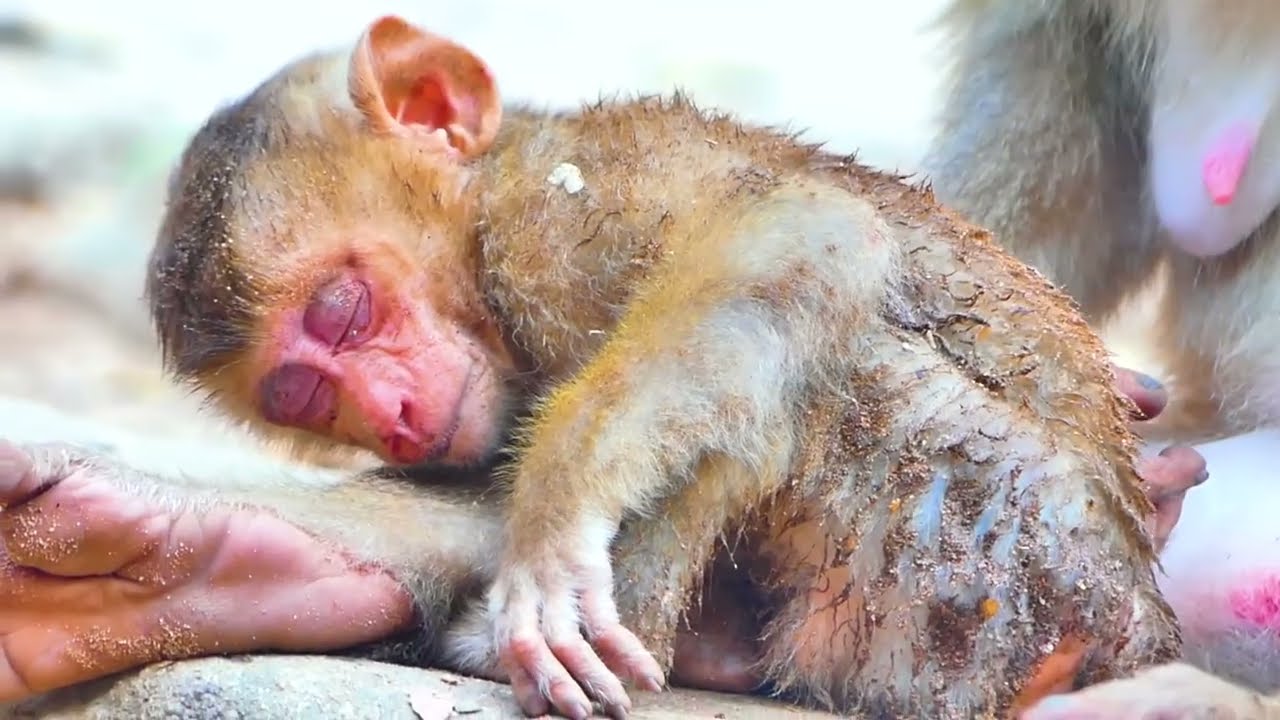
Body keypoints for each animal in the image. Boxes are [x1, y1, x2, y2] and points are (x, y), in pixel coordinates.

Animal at [127, 14, 1194, 718]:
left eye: (342, 314)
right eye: (306, 398)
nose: (389, 413)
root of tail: (1136, 625)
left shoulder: (557, 223)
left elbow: (804, 235)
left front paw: (555, 523)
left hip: (987, 563)